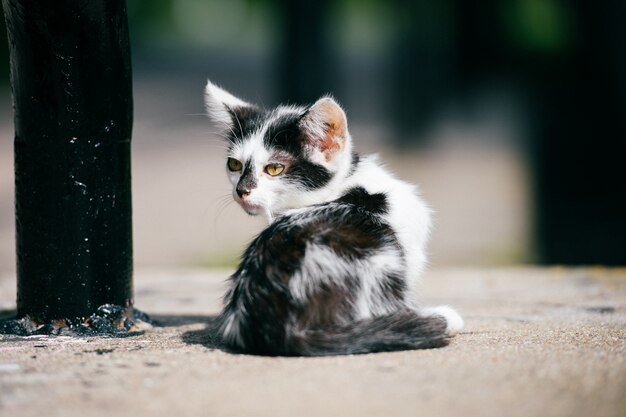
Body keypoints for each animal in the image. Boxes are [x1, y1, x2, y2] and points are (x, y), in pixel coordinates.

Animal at [205, 80, 458, 354]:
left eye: (274, 168)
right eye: (234, 165)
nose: (241, 190)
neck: (343, 185)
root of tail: (283, 330)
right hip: (381, 258)